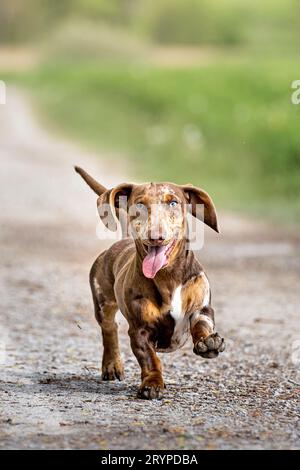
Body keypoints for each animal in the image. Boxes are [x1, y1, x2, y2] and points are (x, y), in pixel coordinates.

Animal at [75, 167, 225, 398]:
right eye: (139, 204)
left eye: (173, 202)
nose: (156, 236)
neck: (168, 277)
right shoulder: (139, 330)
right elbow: (150, 358)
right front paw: (152, 383)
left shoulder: (203, 308)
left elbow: (201, 324)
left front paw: (208, 343)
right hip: (102, 302)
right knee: (109, 329)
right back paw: (112, 365)